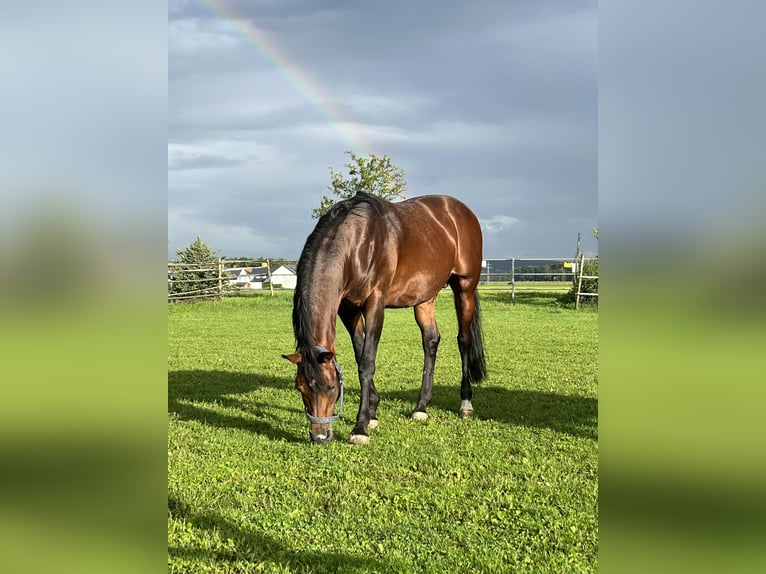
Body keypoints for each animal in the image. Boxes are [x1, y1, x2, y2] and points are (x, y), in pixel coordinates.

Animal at [282, 192, 486, 446]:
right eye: (300, 388)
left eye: (331, 386)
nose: (320, 436)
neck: (357, 242)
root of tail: (459, 209)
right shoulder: (348, 309)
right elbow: (359, 355)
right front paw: (372, 412)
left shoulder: (375, 303)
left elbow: (367, 362)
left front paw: (360, 427)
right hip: (425, 296)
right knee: (431, 341)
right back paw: (421, 406)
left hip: (465, 287)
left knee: (464, 340)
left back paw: (466, 403)